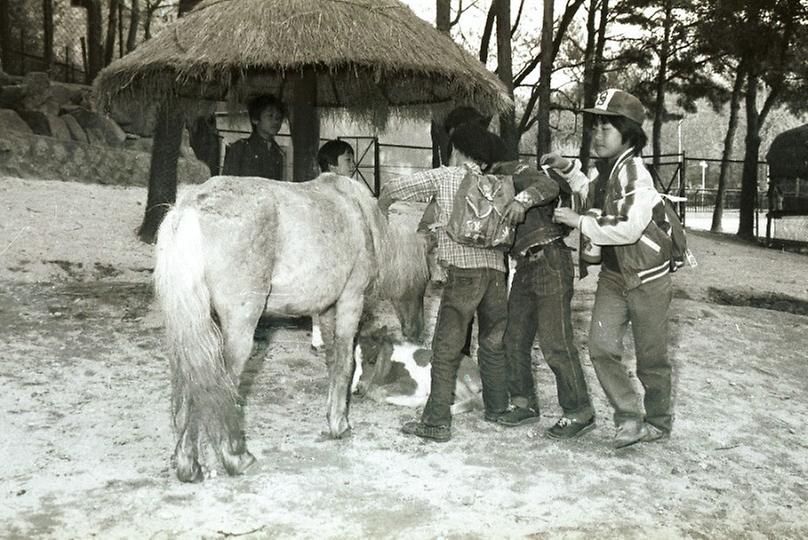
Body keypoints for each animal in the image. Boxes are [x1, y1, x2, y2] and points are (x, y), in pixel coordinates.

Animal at [153, 174, 430, 480]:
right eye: (425, 280)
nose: (418, 333)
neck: (362, 217)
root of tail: (189, 208)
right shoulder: (350, 299)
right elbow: (346, 363)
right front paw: (340, 424)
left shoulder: (326, 309)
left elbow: (334, 362)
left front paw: (333, 417)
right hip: (238, 328)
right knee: (222, 382)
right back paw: (236, 457)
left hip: (190, 327)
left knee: (189, 381)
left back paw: (187, 464)